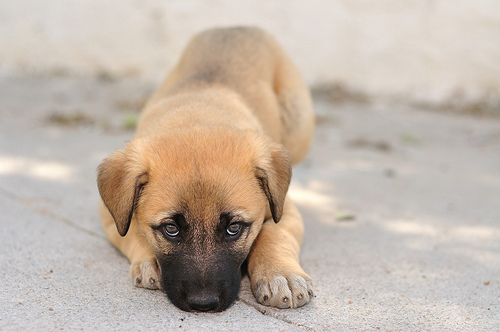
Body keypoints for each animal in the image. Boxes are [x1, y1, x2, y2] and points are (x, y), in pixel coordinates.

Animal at [97, 27, 314, 312]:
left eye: (234, 227)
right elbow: (133, 231)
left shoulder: (284, 207)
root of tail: (236, 26)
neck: (198, 114)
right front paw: (147, 260)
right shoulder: (111, 214)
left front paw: (281, 274)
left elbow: (275, 233)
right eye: (170, 229)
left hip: (298, 122)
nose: (204, 304)